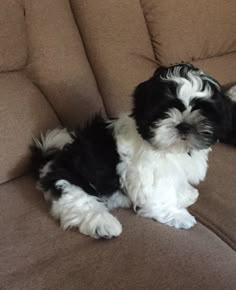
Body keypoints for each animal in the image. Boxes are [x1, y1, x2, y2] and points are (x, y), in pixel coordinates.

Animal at [31, 64, 236, 239]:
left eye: (202, 110)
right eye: (165, 109)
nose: (184, 125)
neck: (171, 148)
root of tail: (49, 162)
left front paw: (185, 194)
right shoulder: (147, 172)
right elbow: (160, 194)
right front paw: (177, 214)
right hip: (71, 178)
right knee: (78, 202)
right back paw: (104, 224)